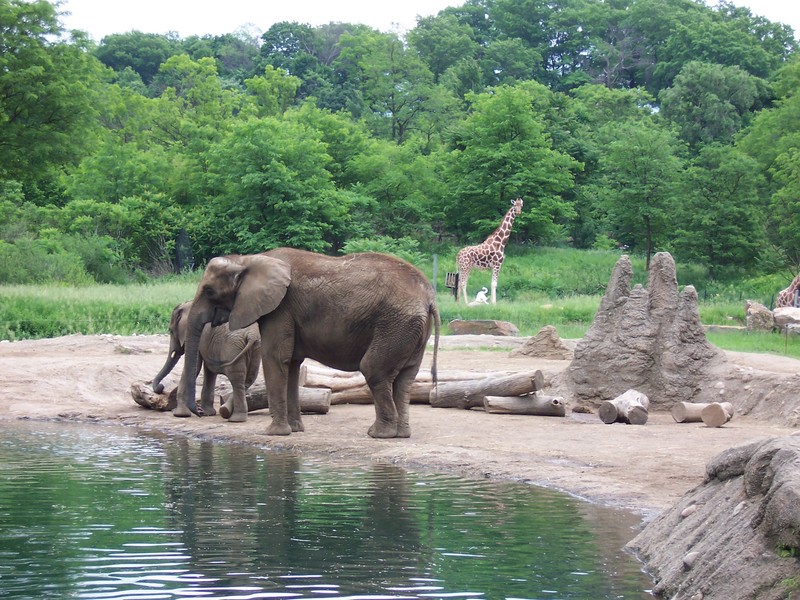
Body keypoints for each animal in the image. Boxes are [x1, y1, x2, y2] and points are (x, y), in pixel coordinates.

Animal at [173, 246, 444, 438]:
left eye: (209, 291)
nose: (198, 413)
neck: (248, 259)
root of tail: (429, 297)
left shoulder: (280, 308)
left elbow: (274, 358)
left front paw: (274, 433)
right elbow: (292, 363)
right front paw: (295, 430)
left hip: (395, 324)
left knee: (373, 369)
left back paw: (379, 434)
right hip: (412, 329)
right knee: (405, 377)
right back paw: (401, 434)